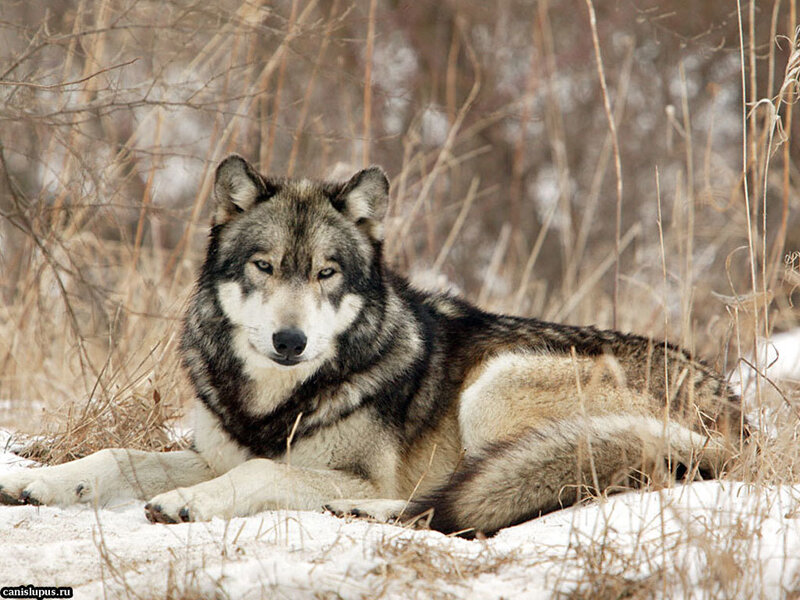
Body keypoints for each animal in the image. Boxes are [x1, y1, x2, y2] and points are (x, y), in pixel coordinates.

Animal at [0, 155, 745, 536]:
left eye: (326, 272)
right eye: (264, 266)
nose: (291, 340)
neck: (275, 404)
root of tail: (740, 420)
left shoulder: (325, 468)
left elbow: (261, 474)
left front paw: (189, 505)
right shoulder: (213, 452)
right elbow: (117, 457)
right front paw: (38, 482)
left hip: (496, 384)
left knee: (466, 498)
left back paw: (373, 510)